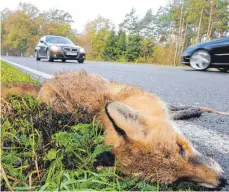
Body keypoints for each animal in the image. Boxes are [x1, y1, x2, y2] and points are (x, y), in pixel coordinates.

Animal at [0, 71, 226, 188]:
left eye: (180, 148)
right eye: (177, 181)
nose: (223, 181)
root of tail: (44, 85)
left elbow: (173, 109)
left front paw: (191, 110)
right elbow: (174, 111)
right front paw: (191, 111)